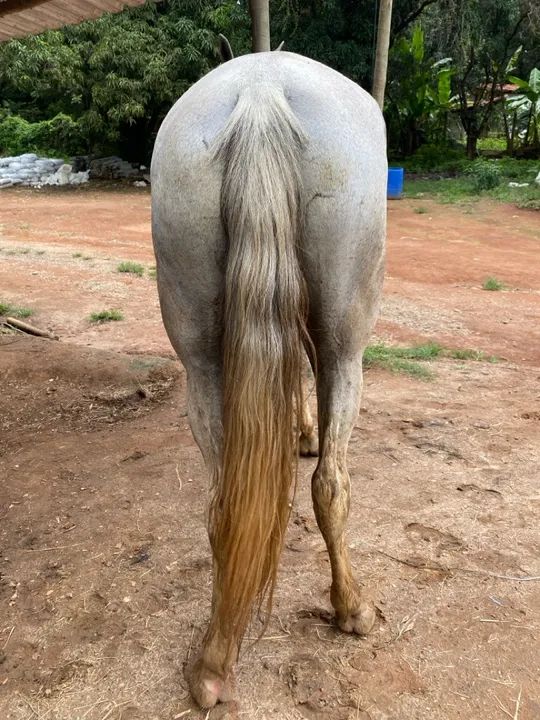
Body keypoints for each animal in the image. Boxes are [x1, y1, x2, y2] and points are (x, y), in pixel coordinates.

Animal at [151, 50, 386, 708]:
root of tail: (260, 92)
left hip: (200, 359)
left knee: (222, 505)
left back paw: (212, 663)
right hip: (348, 341)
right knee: (331, 483)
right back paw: (351, 608)